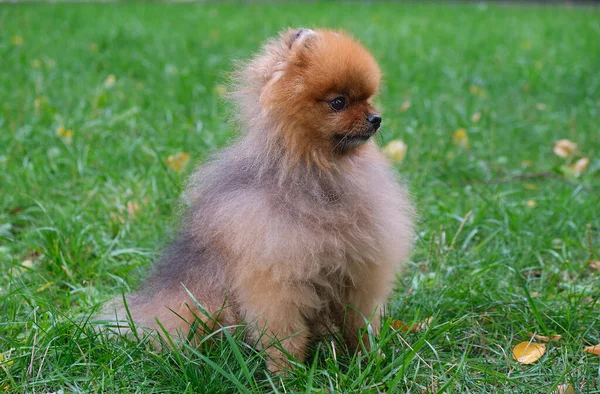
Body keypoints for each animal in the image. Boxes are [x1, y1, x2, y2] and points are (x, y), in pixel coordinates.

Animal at [101, 27, 414, 372]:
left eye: (368, 98)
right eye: (338, 103)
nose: (376, 118)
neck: (318, 175)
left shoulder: (358, 275)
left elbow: (360, 325)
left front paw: (369, 361)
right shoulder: (276, 284)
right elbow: (284, 338)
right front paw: (287, 375)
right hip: (196, 310)